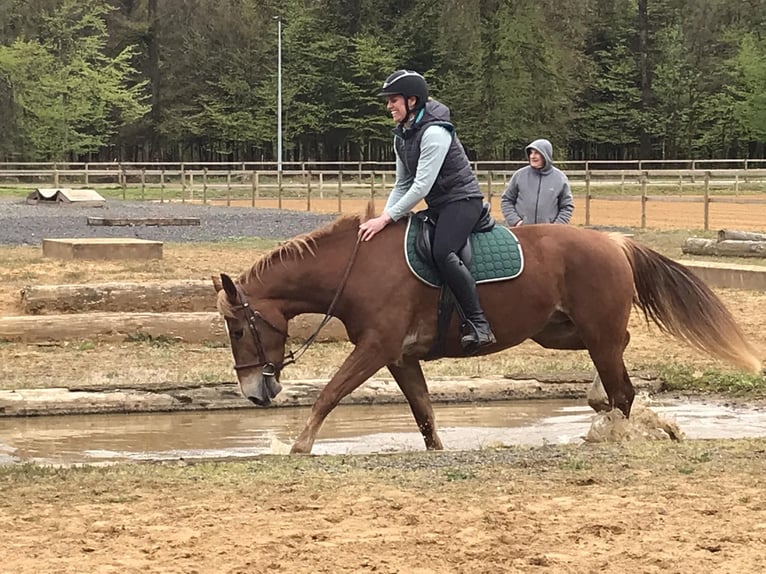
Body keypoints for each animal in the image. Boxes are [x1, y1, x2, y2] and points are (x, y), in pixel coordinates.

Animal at [214, 205, 762, 454]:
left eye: (237, 330)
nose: (255, 393)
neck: (359, 267)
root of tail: (614, 243)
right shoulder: (400, 356)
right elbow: (424, 413)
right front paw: (436, 451)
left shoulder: (376, 348)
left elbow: (329, 393)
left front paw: (298, 446)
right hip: (561, 331)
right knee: (617, 368)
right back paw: (612, 410)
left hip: (594, 332)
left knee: (622, 389)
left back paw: (613, 432)